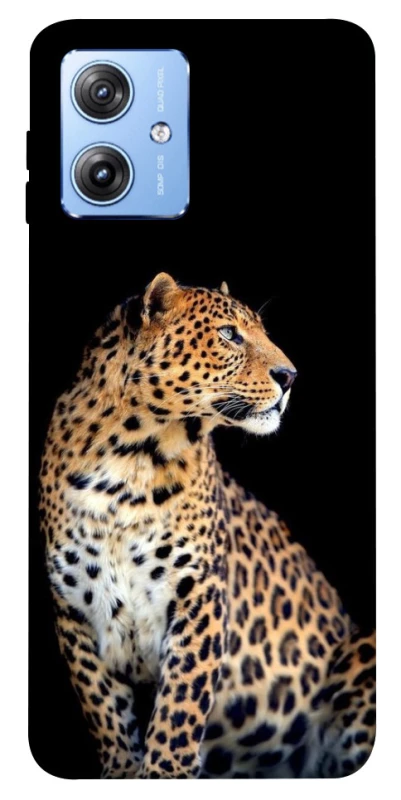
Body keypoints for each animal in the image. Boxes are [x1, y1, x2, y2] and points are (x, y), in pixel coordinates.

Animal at [39, 273, 376, 779]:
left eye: (260, 331)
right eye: (229, 334)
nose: (290, 376)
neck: (129, 459)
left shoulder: (199, 594)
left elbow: (179, 709)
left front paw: (164, 773)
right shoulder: (75, 609)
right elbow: (106, 712)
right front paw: (122, 772)